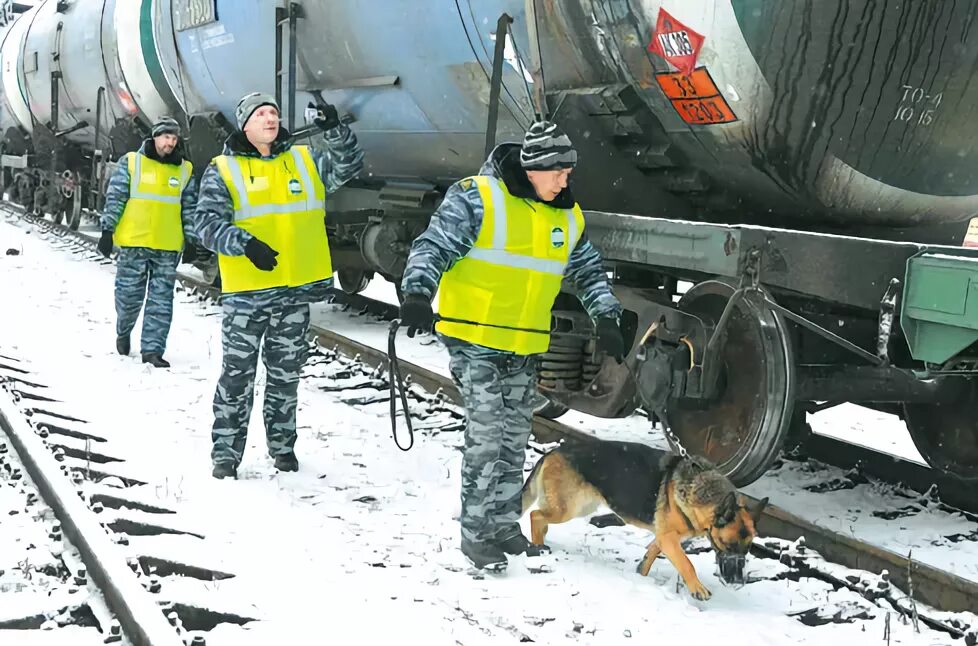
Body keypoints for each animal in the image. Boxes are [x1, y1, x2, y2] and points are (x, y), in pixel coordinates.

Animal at [524, 440, 768, 604]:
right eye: (728, 546)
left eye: (747, 550)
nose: (738, 582)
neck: (699, 490)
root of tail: (553, 451)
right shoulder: (670, 539)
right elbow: (686, 563)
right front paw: (697, 588)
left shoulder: (664, 537)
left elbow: (651, 553)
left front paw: (641, 573)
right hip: (568, 509)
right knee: (535, 515)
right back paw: (537, 546)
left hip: (581, 507)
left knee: (541, 518)